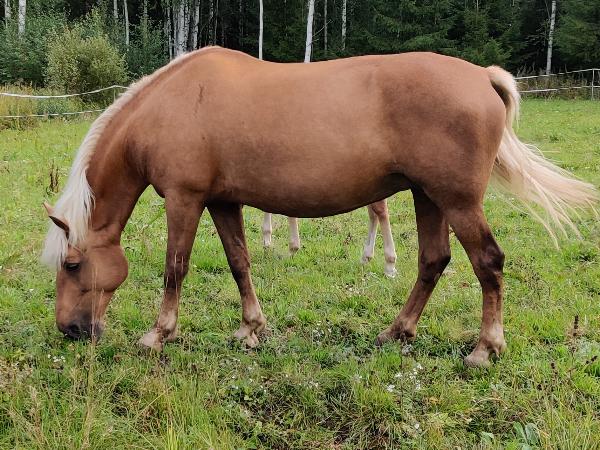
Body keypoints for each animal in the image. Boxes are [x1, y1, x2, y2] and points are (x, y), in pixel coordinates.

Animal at [261, 198, 398, 277]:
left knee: (380, 209)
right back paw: (366, 257)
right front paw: (267, 240)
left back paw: (390, 265)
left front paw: (293, 247)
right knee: (373, 213)